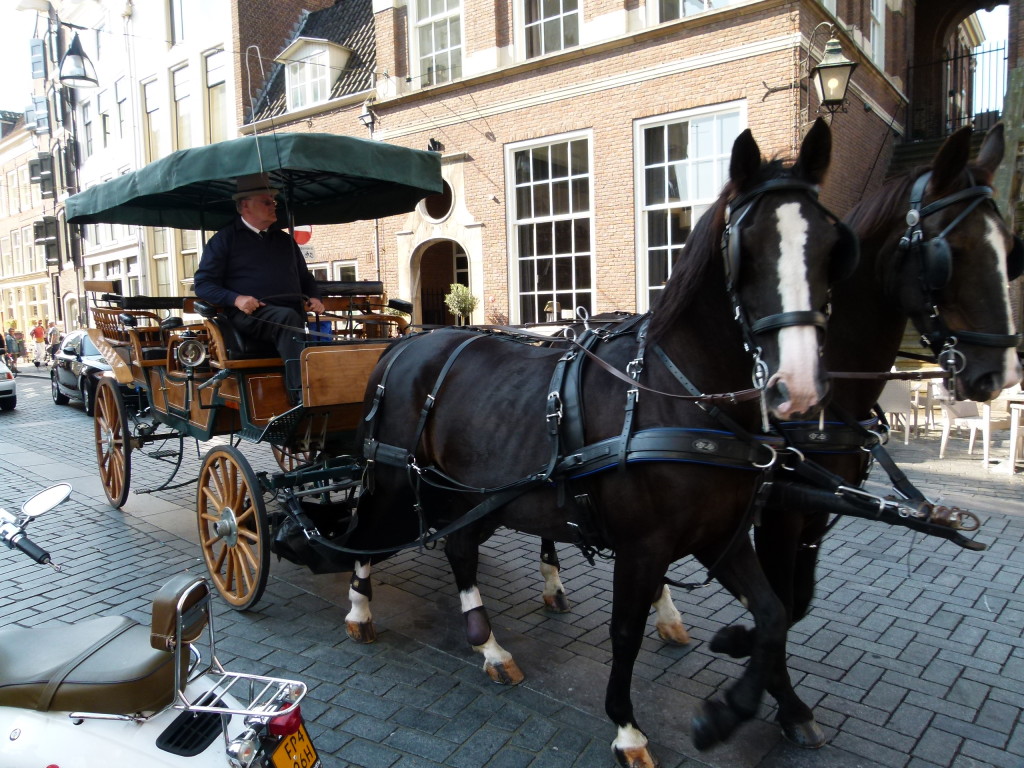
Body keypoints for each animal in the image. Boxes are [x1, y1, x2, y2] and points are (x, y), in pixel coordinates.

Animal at [339, 120, 851, 768]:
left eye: (833, 247)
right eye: (747, 249)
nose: (800, 387)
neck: (677, 398)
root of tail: (403, 344)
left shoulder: (722, 537)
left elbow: (774, 614)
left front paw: (731, 706)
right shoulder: (642, 547)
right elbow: (624, 633)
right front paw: (628, 727)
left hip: (476, 496)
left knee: (458, 550)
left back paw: (489, 645)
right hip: (391, 476)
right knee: (364, 534)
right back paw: (360, 610)